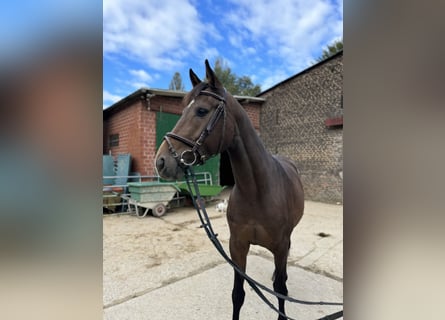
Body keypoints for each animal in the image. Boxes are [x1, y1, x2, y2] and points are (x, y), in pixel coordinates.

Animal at [154, 60, 304, 320]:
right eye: (181, 110)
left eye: (201, 111)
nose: (161, 161)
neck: (257, 192)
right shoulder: (237, 246)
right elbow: (238, 294)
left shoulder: (279, 245)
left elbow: (280, 290)